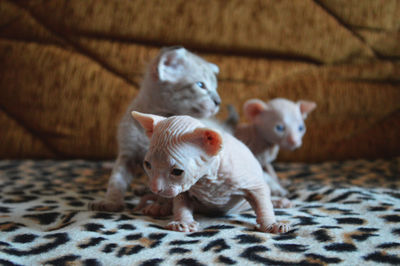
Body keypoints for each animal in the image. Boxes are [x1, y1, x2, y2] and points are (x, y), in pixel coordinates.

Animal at [89, 46, 220, 212]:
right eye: (201, 85)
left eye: (216, 88)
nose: (218, 101)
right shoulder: (128, 154)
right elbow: (116, 179)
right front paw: (111, 201)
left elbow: (169, 185)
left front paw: (160, 206)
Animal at [133, 110, 290, 233]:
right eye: (147, 165)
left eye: (177, 172)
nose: (154, 188)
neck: (207, 179)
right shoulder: (182, 189)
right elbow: (180, 203)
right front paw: (183, 222)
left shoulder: (253, 183)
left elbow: (262, 202)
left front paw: (270, 224)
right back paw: (159, 207)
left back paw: (279, 201)